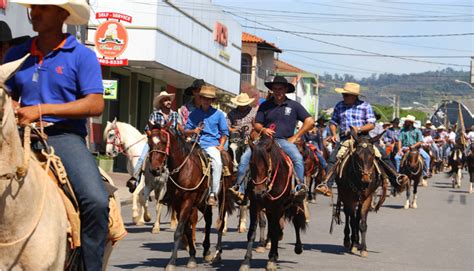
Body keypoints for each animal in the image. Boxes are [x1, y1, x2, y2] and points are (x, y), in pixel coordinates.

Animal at [147, 124, 234, 270]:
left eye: (164, 142)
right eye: (149, 142)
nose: (155, 170)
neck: (184, 169)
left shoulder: (188, 201)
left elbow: (179, 231)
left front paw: (171, 262)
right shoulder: (177, 204)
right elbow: (186, 229)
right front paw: (192, 257)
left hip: (223, 198)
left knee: (221, 223)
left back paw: (217, 254)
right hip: (202, 202)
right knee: (209, 219)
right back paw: (206, 251)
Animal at [241, 137, 308, 271]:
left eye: (267, 164)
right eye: (251, 164)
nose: (259, 192)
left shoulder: (277, 207)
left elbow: (275, 230)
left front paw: (271, 260)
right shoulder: (255, 205)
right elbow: (252, 232)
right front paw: (246, 261)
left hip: (292, 204)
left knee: (296, 222)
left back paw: (298, 247)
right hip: (270, 209)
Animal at [336, 129, 386, 258]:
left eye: (372, 155)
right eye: (357, 155)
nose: (366, 180)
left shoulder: (367, 199)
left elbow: (362, 223)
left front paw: (363, 248)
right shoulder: (349, 200)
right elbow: (353, 222)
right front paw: (353, 244)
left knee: (357, 216)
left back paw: (357, 242)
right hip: (344, 196)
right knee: (348, 216)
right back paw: (349, 240)